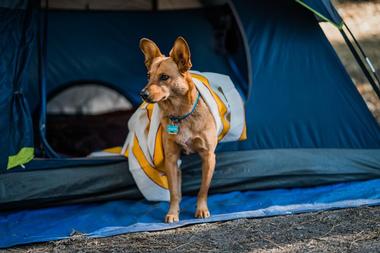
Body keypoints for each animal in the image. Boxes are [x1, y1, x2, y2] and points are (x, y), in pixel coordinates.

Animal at [139, 36, 217, 222]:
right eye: (148, 76)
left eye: (164, 77)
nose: (142, 94)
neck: (180, 114)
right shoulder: (172, 159)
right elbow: (174, 192)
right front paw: (173, 213)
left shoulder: (208, 157)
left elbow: (203, 189)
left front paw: (201, 209)